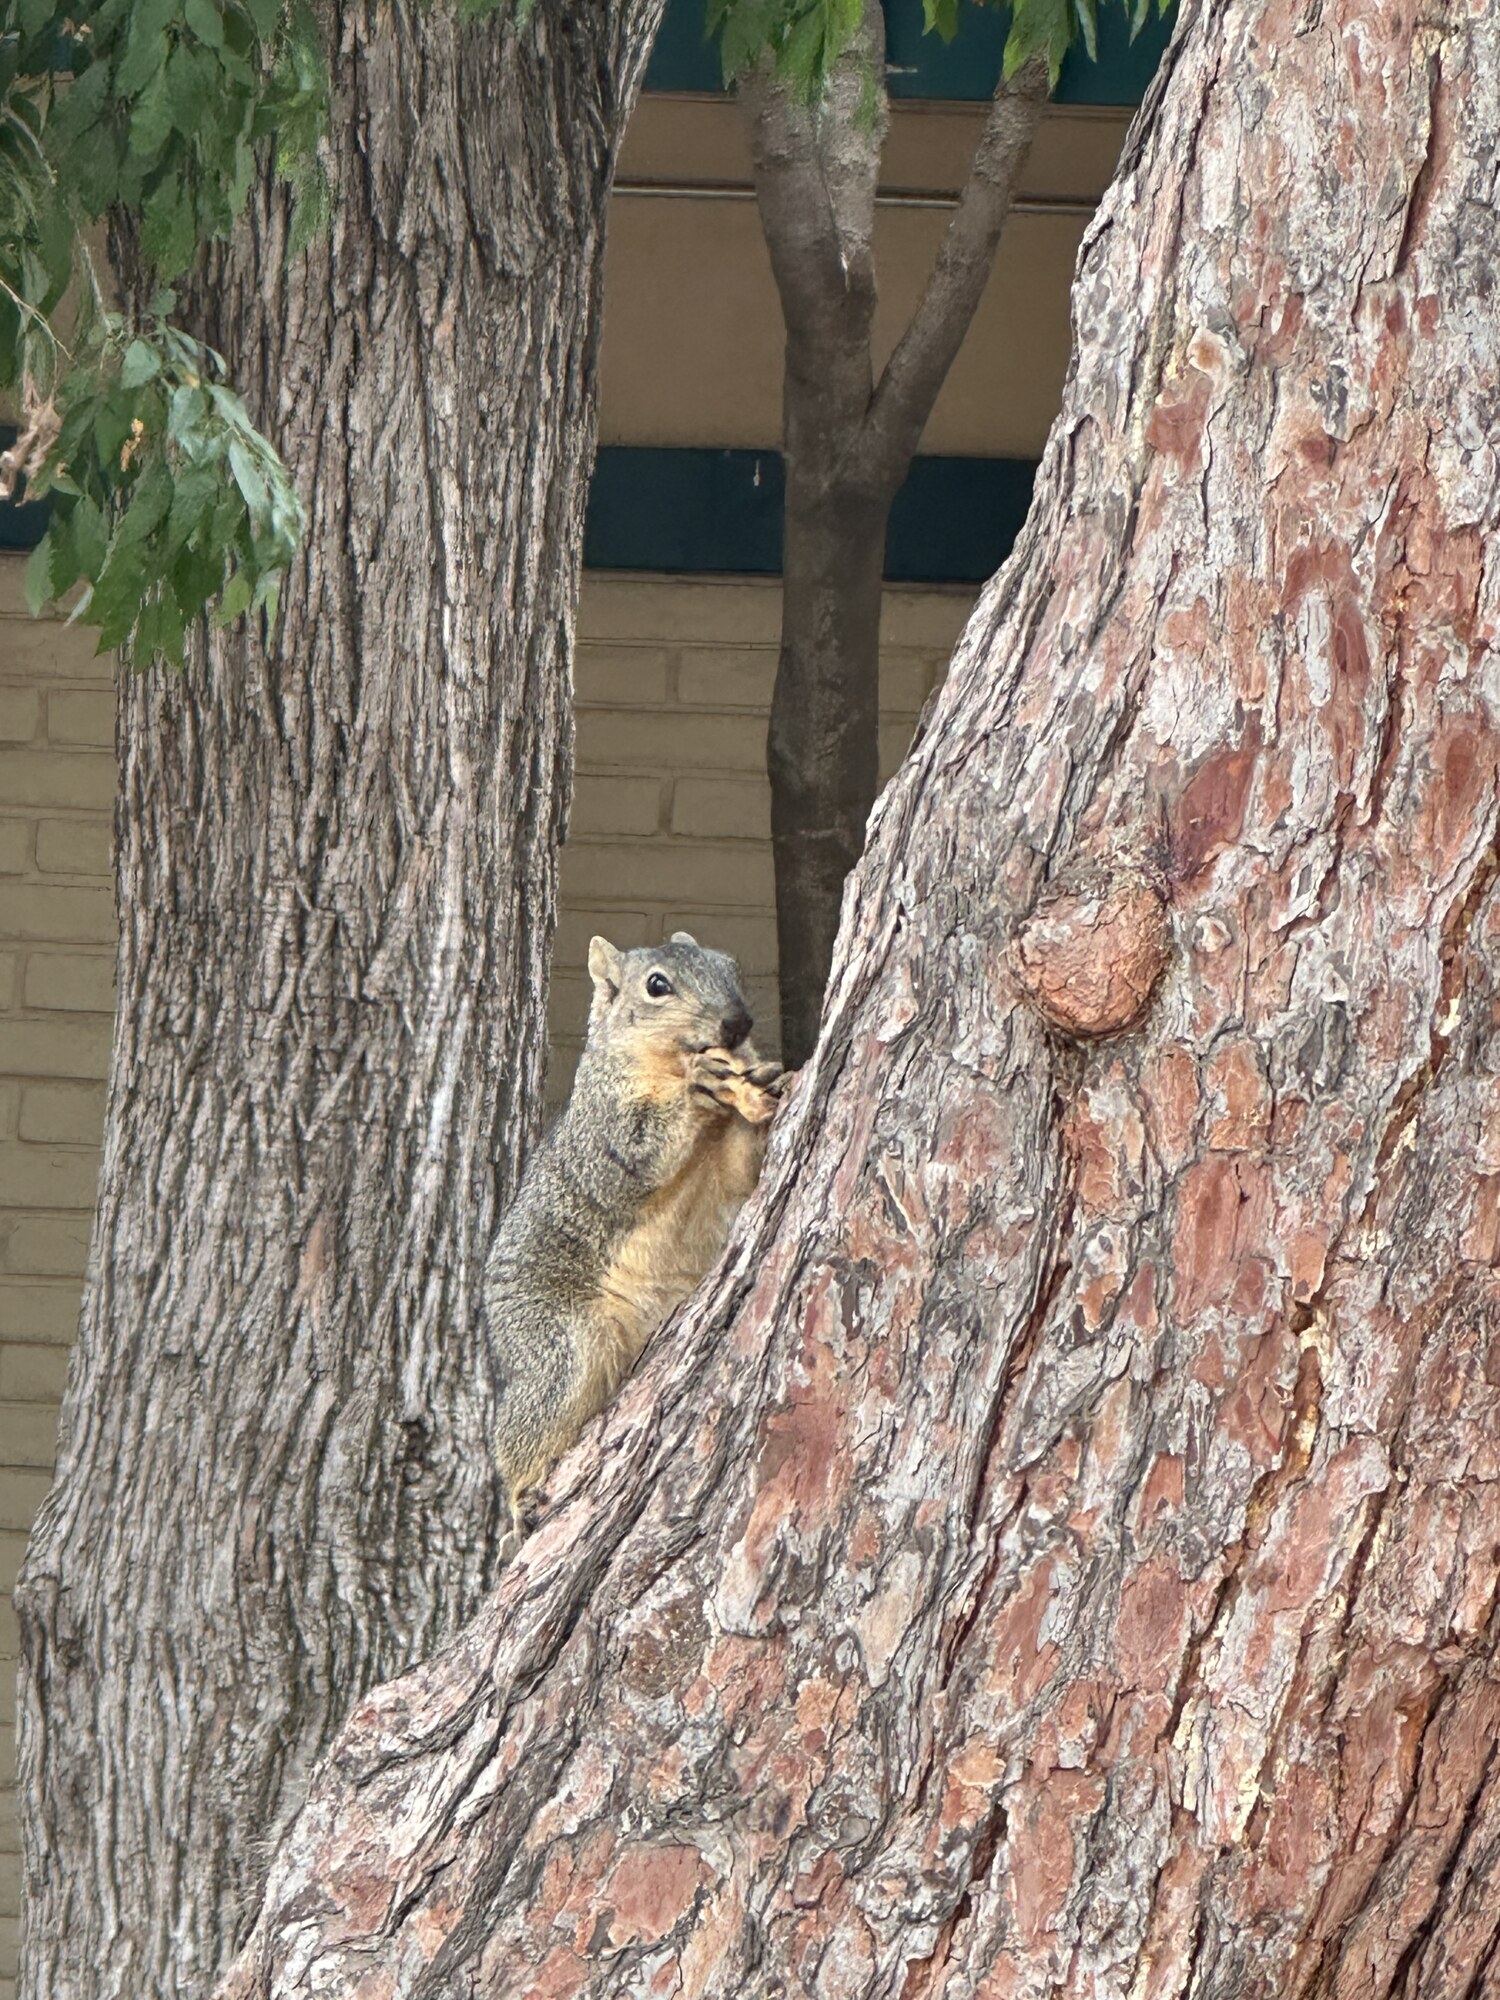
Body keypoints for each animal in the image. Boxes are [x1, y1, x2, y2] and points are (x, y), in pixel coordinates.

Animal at [482, 931, 786, 1543]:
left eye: (730, 965)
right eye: (657, 985)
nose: (737, 1023)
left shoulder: (728, 1164)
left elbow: (743, 1171)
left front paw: (759, 1087)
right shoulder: (602, 1128)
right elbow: (637, 1150)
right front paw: (700, 1085)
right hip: (559, 1344)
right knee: (524, 1425)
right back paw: (520, 1500)